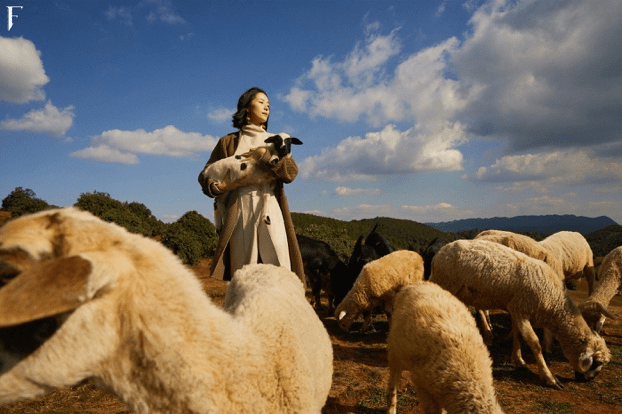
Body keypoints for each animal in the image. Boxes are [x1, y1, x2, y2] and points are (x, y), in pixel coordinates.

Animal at [432, 238, 612, 390]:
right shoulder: (521, 310)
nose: (588, 380)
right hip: (445, 283)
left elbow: (518, 334)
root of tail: (442, 250)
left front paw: (517, 358)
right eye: (597, 363)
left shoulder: (516, 309)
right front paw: (549, 377)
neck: (554, 302)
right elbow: (535, 343)